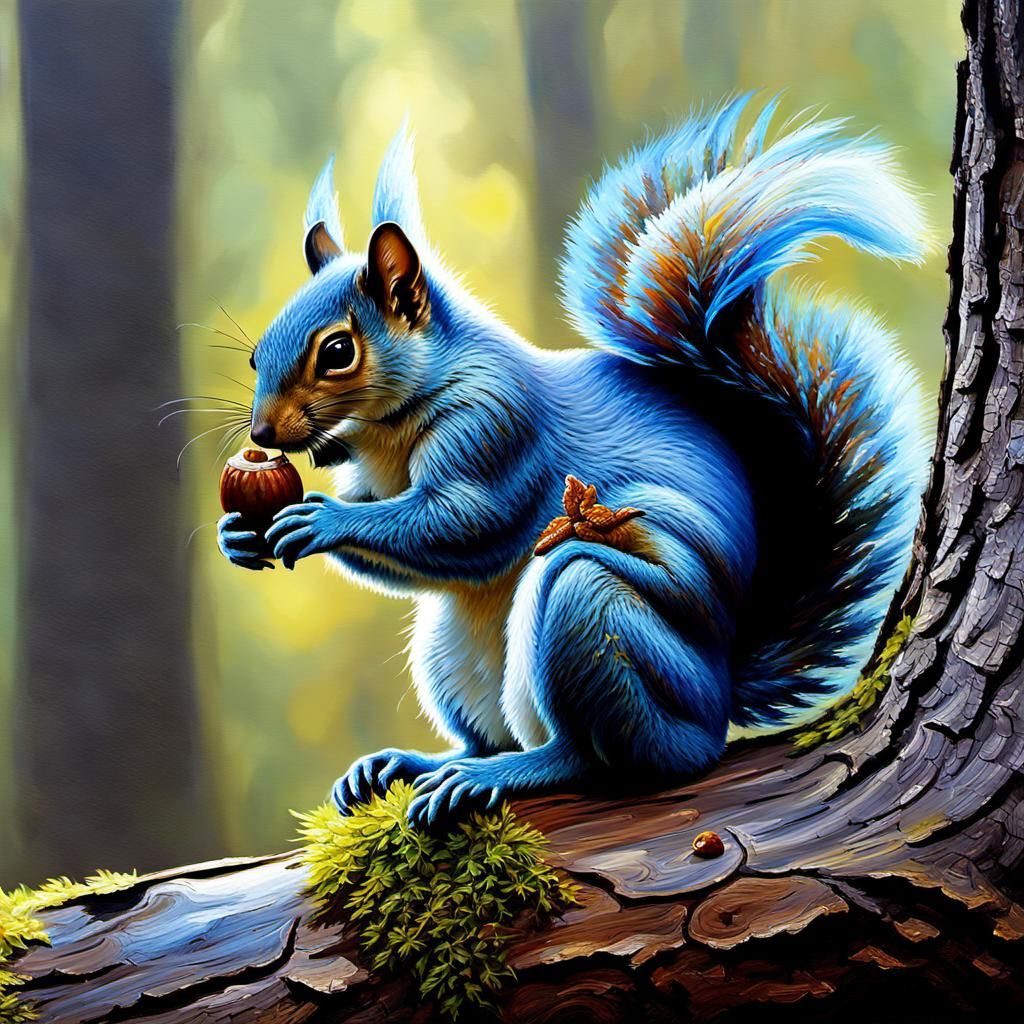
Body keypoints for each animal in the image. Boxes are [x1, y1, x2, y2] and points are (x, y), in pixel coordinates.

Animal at [218, 97, 928, 829]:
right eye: (256, 354)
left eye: (337, 351)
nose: (263, 431)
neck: (388, 426)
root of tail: (719, 700)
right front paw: (240, 534)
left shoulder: (499, 429)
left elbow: (465, 524)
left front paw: (323, 522)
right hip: (451, 652)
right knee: (485, 734)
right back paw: (419, 762)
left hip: (591, 612)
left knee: (592, 756)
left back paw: (506, 772)